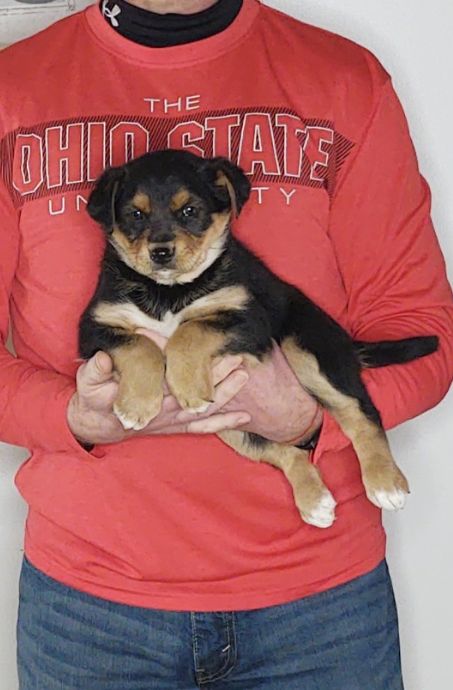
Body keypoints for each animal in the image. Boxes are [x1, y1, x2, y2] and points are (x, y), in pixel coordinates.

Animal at [79, 150, 436, 528]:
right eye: (135, 214)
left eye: (190, 210)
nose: (161, 252)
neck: (168, 292)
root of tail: (346, 343)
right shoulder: (94, 328)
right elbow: (141, 344)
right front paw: (137, 405)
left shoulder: (248, 320)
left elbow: (191, 330)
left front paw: (185, 386)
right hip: (229, 426)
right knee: (286, 452)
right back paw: (315, 501)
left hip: (306, 346)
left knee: (360, 411)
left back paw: (385, 483)